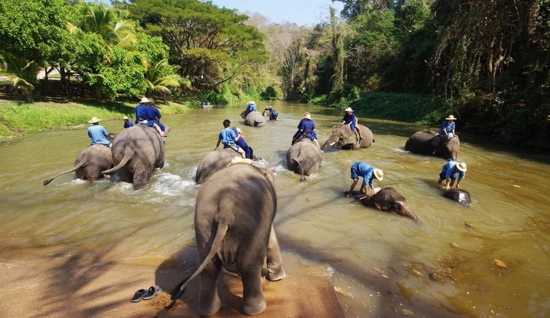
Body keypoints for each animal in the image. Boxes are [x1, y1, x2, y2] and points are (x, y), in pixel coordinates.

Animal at [171, 160, 284, 316]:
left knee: (209, 268)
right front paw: (279, 278)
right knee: (249, 265)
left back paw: (209, 311)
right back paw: (257, 310)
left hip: (204, 224)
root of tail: (226, 208)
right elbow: (271, 239)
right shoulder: (265, 219)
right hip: (252, 221)